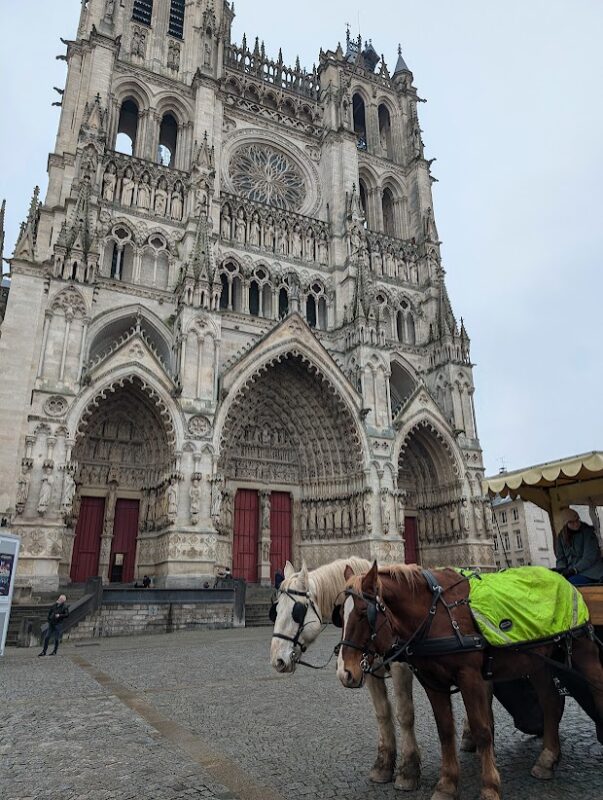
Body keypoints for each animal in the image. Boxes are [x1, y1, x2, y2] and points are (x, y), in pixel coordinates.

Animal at [272, 560, 422, 792]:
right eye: (276, 610)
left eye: (298, 611)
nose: (277, 660)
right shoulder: (369, 671)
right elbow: (382, 713)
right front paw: (383, 766)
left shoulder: (401, 667)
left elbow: (405, 715)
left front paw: (408, 771)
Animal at [338, 564, 600, 800]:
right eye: (339, 615)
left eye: (363, 613)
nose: (345, 672)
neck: (433, 614)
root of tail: (560, 576)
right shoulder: (432, 681)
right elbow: (444, 730)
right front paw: (446, 785)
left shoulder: (470, 676)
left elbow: (481, 728)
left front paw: (490, 787)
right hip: (537, 662)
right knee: (550, 702)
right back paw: (547, 760)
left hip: (582, 650)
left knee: (596, 690)